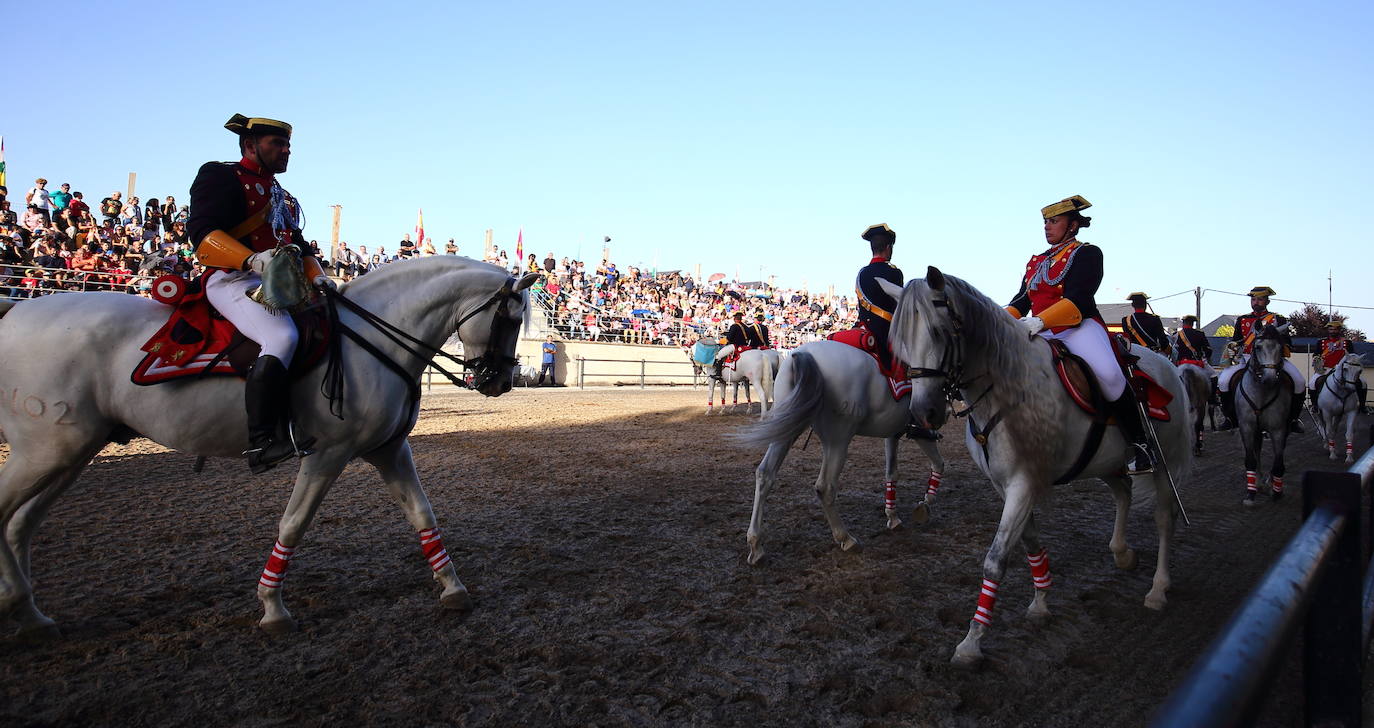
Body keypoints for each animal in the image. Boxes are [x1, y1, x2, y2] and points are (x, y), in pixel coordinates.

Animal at [0, 255, 535, 634]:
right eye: (510, 320)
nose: (501, 382)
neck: (370, 337)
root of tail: (16, 312)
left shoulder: (388, 451)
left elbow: (424, 515)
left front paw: (453, 588)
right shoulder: (327, 455)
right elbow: (293, 525)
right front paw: (273, 608)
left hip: (71, 453)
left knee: (20, 524)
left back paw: (29, 613)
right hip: (44, 452)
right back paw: (20, 605)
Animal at [741, 336, 945, 563]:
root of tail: (803, 353)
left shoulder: (893, 433)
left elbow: (892, 473)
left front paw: (893, 517)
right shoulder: (920, 429)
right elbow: (938, 463)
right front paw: (925, 504)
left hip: (787, 427)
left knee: (765, 474)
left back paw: (756, 545)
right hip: (837, 440)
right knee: (825, 486)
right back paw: (846, 539)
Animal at [879, 269, 1192, 664]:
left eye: (938, 332)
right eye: (899, 342)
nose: (924, 413)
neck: (1008, 386)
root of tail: (1167, 365)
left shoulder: (1023, 485)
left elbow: (996, 558)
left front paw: (972, 641)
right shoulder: (1006, 485)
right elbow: (1029, 543)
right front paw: (1041, 601)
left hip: (1163, 464)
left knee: (1164, 518)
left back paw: (1158, 589)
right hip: (1106, 461)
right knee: (1123, 491)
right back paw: (1122, 553)